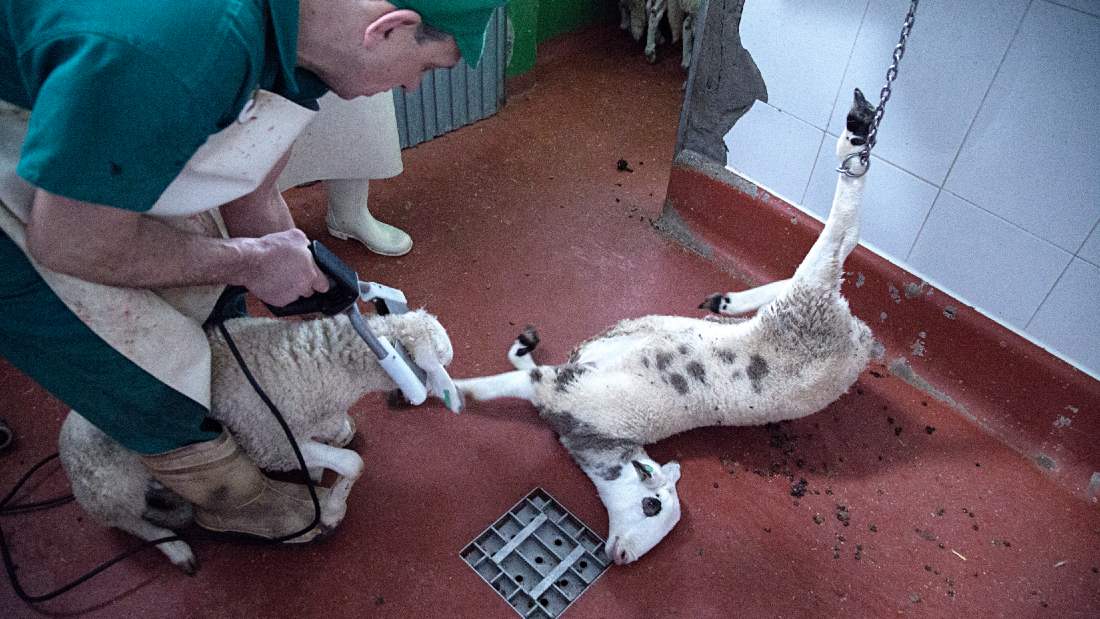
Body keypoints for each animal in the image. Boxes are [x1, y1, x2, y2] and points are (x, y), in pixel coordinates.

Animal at [54, 307, 451, 576]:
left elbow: (340, 436)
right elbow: (352, 463)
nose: (447, 395)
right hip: (112, 487)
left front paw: (320, 472)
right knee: (129, 521)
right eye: (438, 362)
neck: (325, 367)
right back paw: (176, 547)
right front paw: (332, 509)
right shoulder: (273, 441)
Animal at [453, 89, 875, 567]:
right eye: (650, 504)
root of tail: (858, 342)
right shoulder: (567, 380)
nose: (620, 558)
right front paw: (472, 370)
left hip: (806, 313)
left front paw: (452, 386)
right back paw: (854, 137)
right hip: (806, 304)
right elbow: (510, 373)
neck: (597, 441)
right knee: (837, 240)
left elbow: (501, 382)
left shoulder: (562, 388)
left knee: (839, 243)